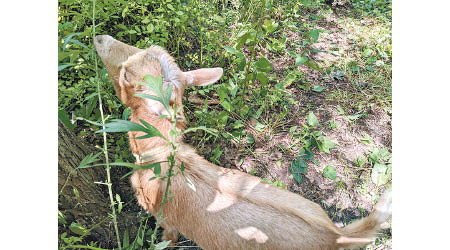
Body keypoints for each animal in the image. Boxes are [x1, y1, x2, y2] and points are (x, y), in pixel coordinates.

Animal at [94, 35, 390, 250]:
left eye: (126, 75)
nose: (99, 38)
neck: (163, 154)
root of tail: (335, 235)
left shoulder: (165, 220)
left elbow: (168, 238)